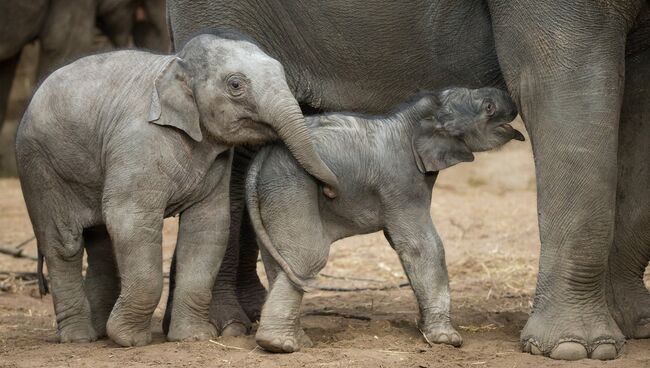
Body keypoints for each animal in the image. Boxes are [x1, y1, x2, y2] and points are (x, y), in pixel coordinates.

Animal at [16, 33, 340, 346]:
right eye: (235, 85)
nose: (330, 191)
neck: (175, 64)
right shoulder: (137, 145)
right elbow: (130, 220)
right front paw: (130, 339)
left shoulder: (216, 163)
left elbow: (207, 227)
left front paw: (194, 336)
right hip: (40, 168)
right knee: (64, 244)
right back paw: (79, 337)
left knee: (100, 243)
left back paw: (98, 332)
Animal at [244, 85, 520, 352]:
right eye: (488, 107)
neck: (414, 117)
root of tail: (263, 156)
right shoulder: (401, 181)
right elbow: (422, 245)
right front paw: (447, 340)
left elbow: (401, 243)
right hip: (292, 184)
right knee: (307, 256)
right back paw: (278, 345)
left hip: (272, 192)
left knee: (279, 260)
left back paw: (298, 341)